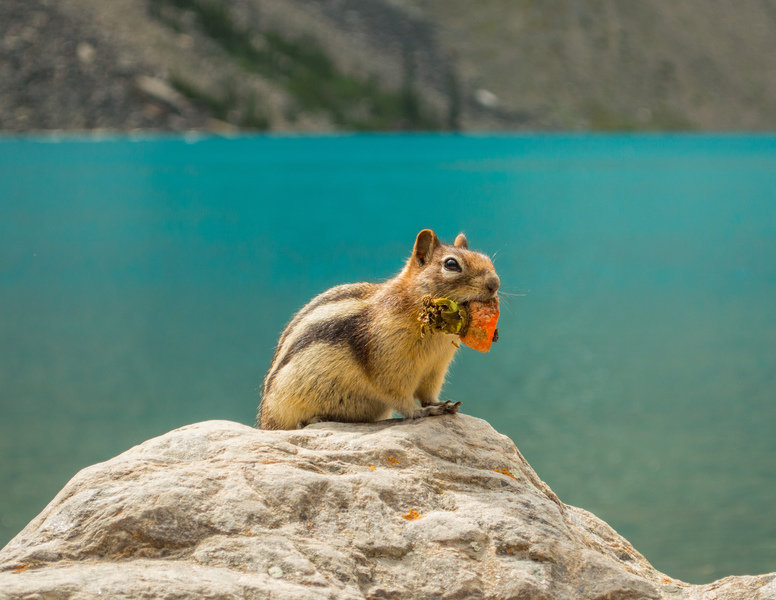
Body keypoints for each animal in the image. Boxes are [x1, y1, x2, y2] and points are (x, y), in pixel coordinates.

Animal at [257, 228, 500, 430]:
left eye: (487, 259)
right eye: (451, 264)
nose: (495, 283)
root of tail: (265, 420)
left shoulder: (435, 368)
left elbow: (428, 392)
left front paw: (439, 404)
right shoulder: (390, 365)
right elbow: (400, 398)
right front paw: (423, 411)